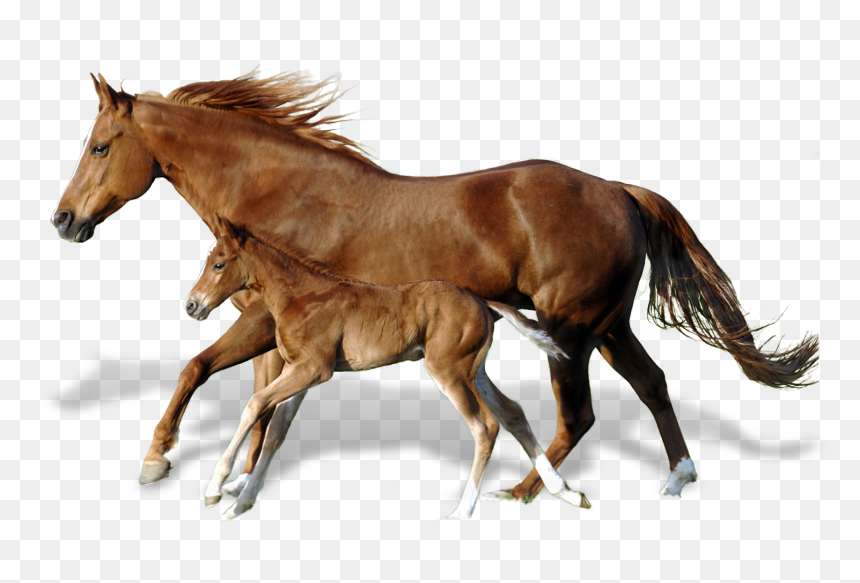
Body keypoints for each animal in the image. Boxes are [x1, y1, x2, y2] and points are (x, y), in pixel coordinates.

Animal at [187, 214, 589, 519]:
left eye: (219, 263)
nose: (192, 306)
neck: (301, 297)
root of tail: (481, 301)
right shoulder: (297, 373)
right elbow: (276, 432)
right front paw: (240, 505)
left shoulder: (314, 369)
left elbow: (255, 405)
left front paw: (215, 488)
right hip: (475, 370)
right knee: (513, 413)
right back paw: (566, 492)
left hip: (448, 371)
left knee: (485, 426)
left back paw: (462, 512)